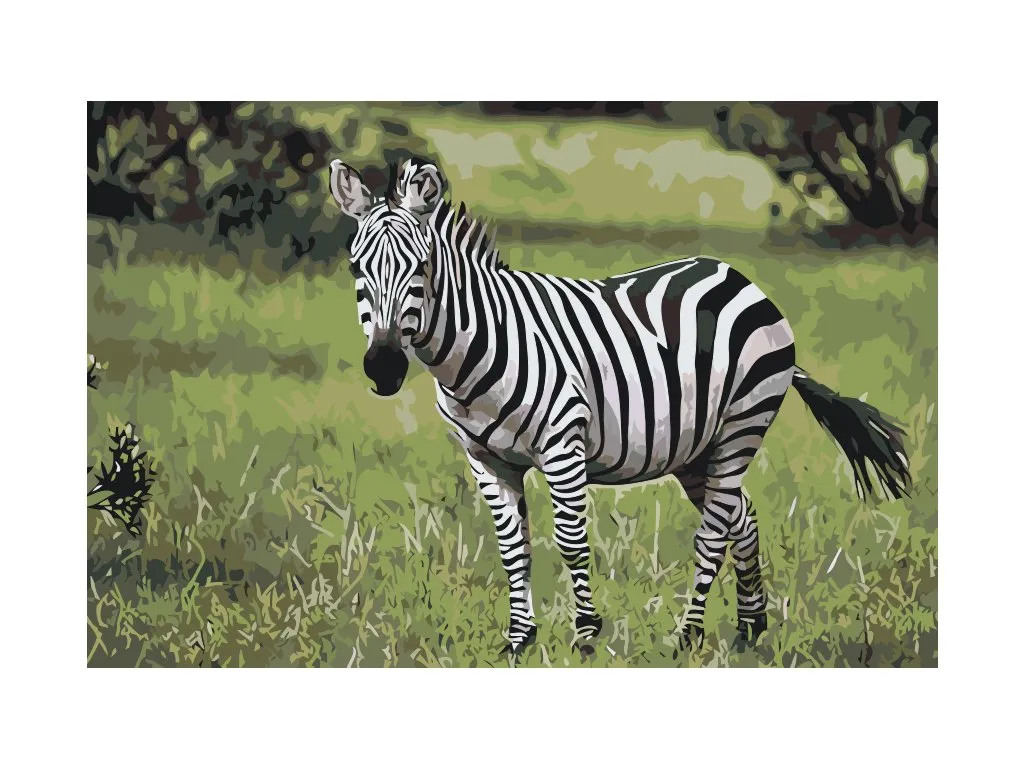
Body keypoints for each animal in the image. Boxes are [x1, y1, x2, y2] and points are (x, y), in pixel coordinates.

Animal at [327, 156, 912, 657]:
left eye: (422, 267)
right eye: (356, 268)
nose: (384, 367)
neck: (477, 348)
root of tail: (736, 275)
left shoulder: (563, 445)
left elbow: (571, 541)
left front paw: (585, 637)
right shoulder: (485, 460)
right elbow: (513, 548)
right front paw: (518, 642)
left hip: (741, 426)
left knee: (714, 532)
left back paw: (687, 638)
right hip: (695, 449)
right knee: (740, 517)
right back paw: (750, 631)